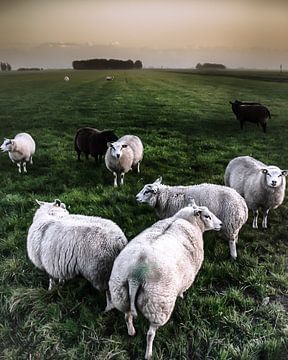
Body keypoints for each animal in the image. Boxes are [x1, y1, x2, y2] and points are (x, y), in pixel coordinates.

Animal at [108, 202, 223, 360]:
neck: (186, 221)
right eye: (207, 216)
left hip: (121, 295)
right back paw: (148, 354)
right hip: (158, 306)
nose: (221, 224)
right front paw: (182, 295)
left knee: (127, 316)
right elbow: (182, 289)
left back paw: (131, 332)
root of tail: (135, 275)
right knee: (150, 333)